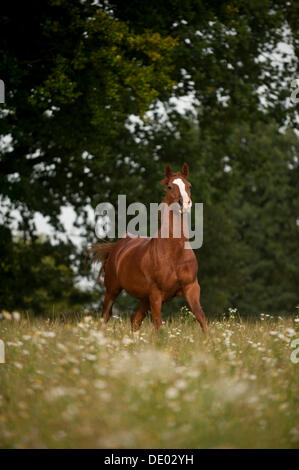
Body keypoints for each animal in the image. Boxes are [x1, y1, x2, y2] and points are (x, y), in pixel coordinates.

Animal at [89, 163, 209, 332]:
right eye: (170, 186)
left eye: (189, 186)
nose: (185, 204)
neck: (174, 253)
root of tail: (118, 246)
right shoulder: (156, 293)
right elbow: (158, 324)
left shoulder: (191, 288)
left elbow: (201, 318)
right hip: (112, 290)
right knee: (105, 316)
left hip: (143, 298)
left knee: (135, 320)